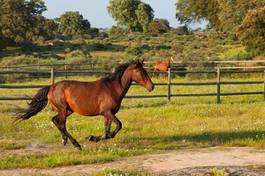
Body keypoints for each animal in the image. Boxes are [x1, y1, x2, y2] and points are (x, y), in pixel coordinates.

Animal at [15, 60, 154, 150]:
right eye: (142, 72)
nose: (151, 86)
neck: (113, 88)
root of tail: (51, 87)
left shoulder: (108, 114)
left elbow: (107, 131)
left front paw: (93, 137)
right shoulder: (107, 112)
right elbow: (118, 126)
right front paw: (92, 138)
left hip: (68, 110)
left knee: (55, 121)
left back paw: (64, 140)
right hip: (63, 109)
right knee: (61, 125)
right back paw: (76, 145)